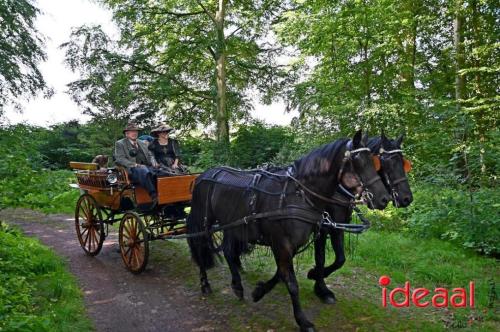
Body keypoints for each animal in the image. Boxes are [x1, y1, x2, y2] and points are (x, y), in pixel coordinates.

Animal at [188, 131, 390, 330]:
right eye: (358, 163)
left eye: (374, 162)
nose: (384, 198)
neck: (299, 195)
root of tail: (204, 175)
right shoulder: (282, 244)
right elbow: (291, 283)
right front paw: (302, 320)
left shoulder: (291, 245)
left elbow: (281, 274)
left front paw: (259, 291)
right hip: (204, 222)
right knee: (199, 245)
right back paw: (205, 283)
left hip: (232, 225)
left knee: (229, 251)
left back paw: (237, 286)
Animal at [308, 134, 414, 304]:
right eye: (386, 162)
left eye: (404, 163)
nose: (407, 198)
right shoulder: (323, 229)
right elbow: (320, 258)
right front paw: (321, 288)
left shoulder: (337, 227)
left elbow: (340, 259)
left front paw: (316, 277)